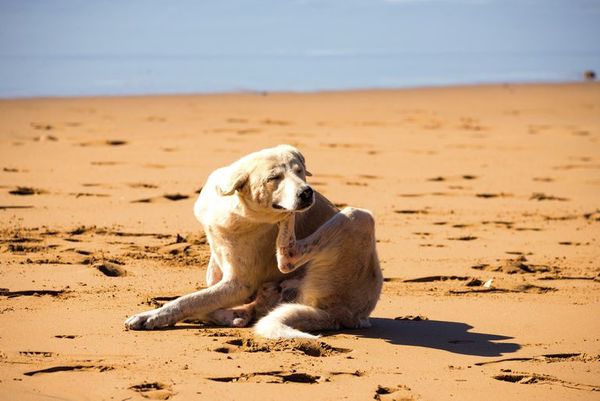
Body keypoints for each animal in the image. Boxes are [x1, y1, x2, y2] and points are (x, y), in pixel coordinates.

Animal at [124, 144, 382, 338]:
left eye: (299, 171)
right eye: (274, 178)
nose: (307, 193)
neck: (234, 207)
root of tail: (339, 316)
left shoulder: (240, 283)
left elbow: (189, 300)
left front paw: (152, 316)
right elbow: (206, 286)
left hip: (358, 218)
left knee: (287, 259)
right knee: (255, 308)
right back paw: (239, 313)